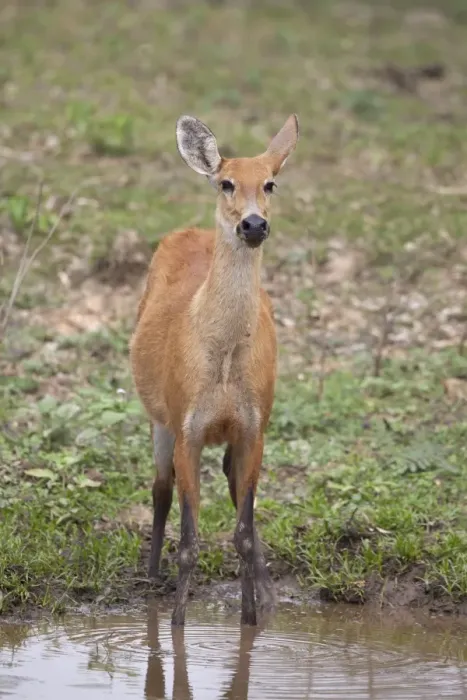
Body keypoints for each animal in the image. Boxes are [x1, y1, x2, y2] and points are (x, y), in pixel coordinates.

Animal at [129, 113, 299, 627]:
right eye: (226, 183)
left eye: (270, 183)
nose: (254, 223)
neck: (222, 367)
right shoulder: (187, 425)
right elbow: (188, 541)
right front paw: (176, 624)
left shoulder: (253, 426)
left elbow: (241, 532)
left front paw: (251, 618)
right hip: (159, 417)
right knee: (160, 487)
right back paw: (152, 576)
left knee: (225, 482)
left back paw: (264, 593)